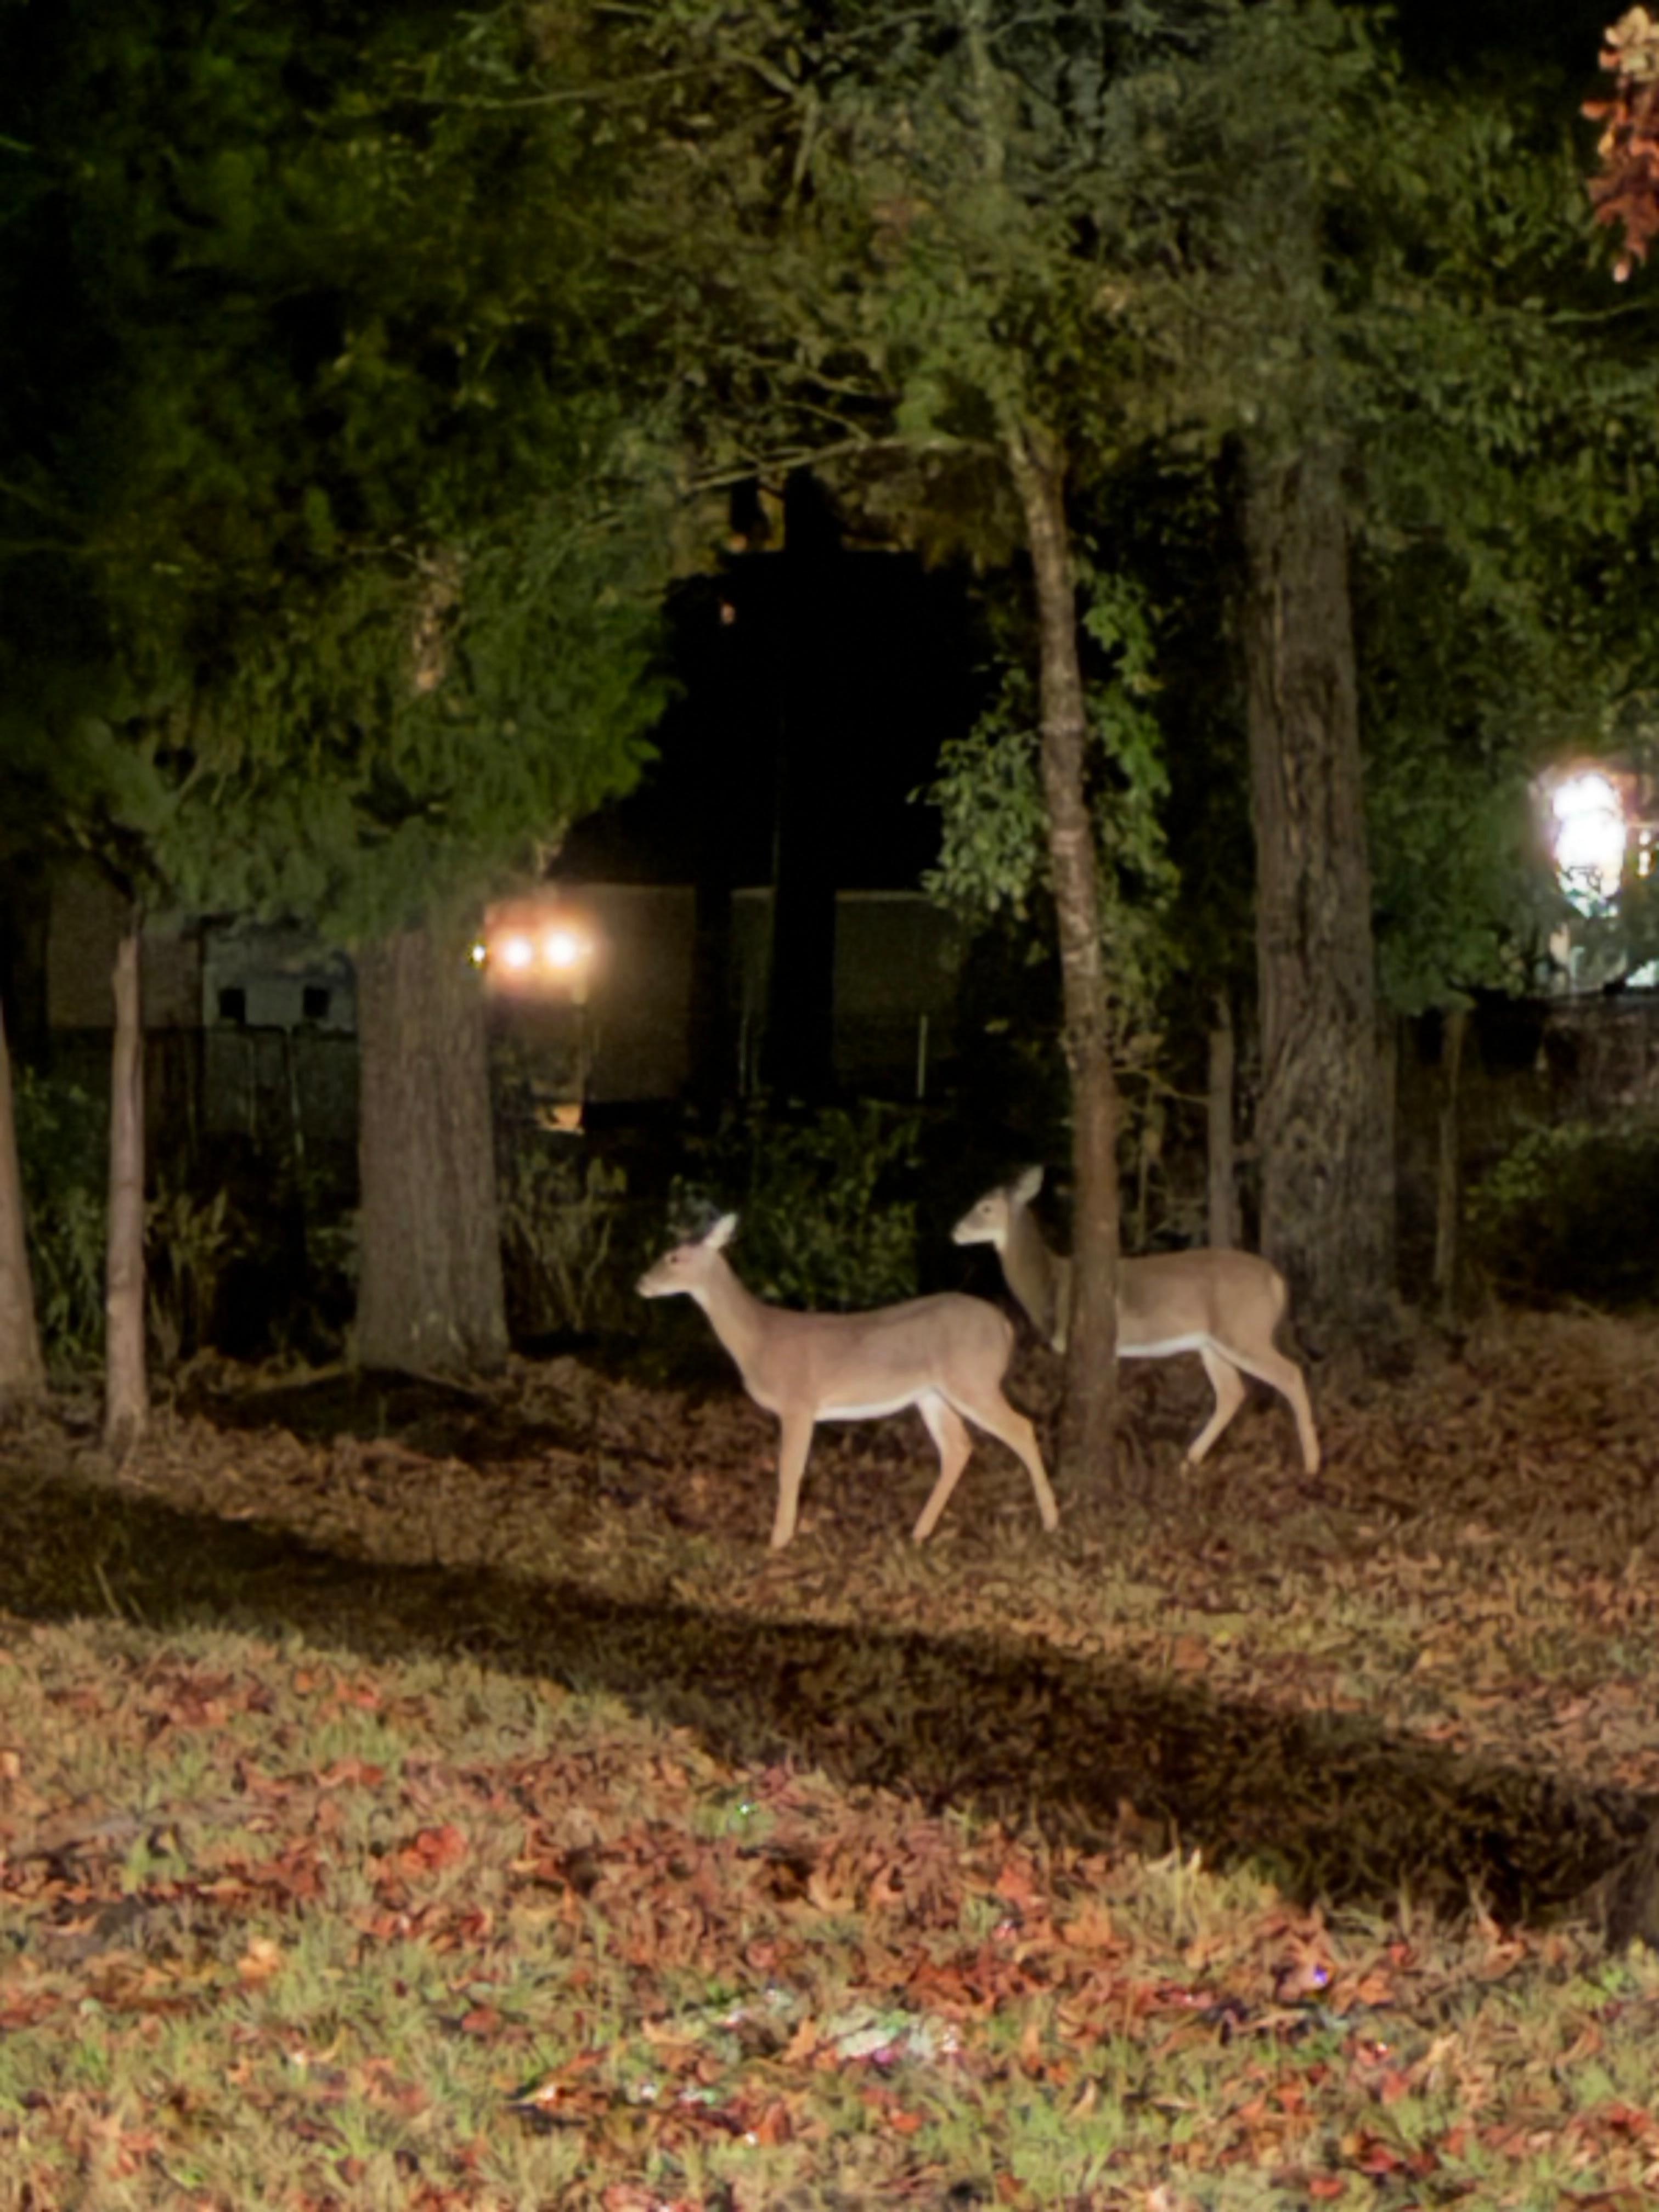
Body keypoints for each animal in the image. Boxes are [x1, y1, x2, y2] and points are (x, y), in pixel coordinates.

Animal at [636, 1213, 1059, 1550]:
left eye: (674, 1257)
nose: (641, 1283)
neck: (759, 1339)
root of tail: (1004, 1326)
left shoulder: (798, 1402)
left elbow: (789, 1470)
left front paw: (778, 1542)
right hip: (932, 1393)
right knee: (957, 1447)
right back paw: (919, 1532)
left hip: (972, 1378)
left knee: (1021, 1428)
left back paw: (1051, 1521)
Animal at [951, 1166, 1321, 1475]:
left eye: (985, 1207)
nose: (954, 1231)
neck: (1050, 1286)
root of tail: (1277, 1280)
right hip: (1213, 1341)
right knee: (1232, 1392)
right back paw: (1189, 1460)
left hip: (1243, 1330)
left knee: (1290, 1373)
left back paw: (1312, 1463)